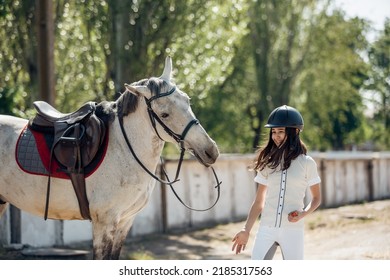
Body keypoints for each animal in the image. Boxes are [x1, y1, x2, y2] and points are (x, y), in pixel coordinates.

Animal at [0, 57, 219, 260]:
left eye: (188, 101)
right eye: (164, 114)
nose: (211, 151)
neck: (122, 149)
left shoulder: (124, 222)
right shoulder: (104, 222)